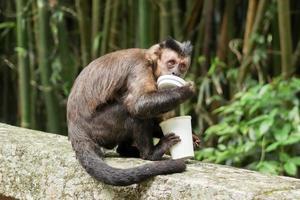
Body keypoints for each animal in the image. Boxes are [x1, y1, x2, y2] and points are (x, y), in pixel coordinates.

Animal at [67, 38, 196, 186]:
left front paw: (192, 137)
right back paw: (150, 154)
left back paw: (127, 151)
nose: (176, 73)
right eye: (171, 63)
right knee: (132, 112)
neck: (150, 61)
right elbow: (138, 104)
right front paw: (186, 90)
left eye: (182, 66)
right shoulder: (140, 66)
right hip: (99, 129)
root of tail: (75, 129)